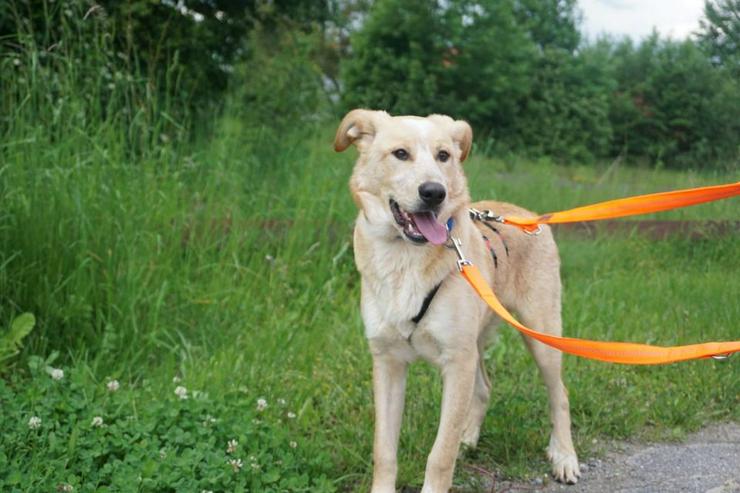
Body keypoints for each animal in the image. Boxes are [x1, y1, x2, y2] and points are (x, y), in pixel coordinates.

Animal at [336, 110, 584, 492]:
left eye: (444, 156)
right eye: (400, 154)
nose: (434, 192)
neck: (405, 259)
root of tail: (528, 215)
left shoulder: (456, 363)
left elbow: (440, 455)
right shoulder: (388, 362)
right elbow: (384, 451)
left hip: (541, 335)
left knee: (560, 395)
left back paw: (564, 457)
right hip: (477, 342)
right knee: (484, 388)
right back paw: (469, 438)